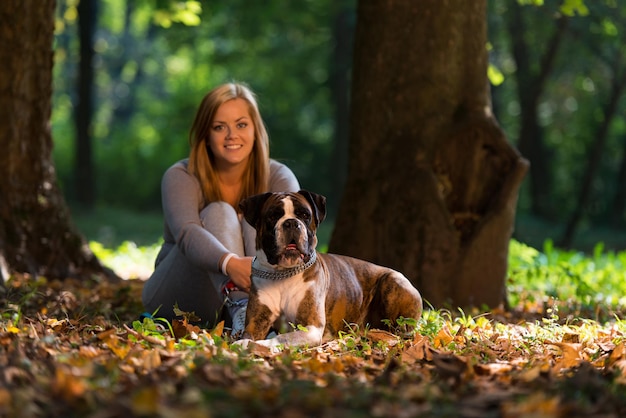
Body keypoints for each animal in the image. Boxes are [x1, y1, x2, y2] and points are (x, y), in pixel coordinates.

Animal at [235, 190, 424, 350]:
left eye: (305, 215)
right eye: (273, 216)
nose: (291, 223)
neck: (283, 274)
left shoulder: (310, 328)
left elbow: (282, 337)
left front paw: (262, 345)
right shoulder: (256, 323)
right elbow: (249, 335)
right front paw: (243, 342)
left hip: (393, 283)